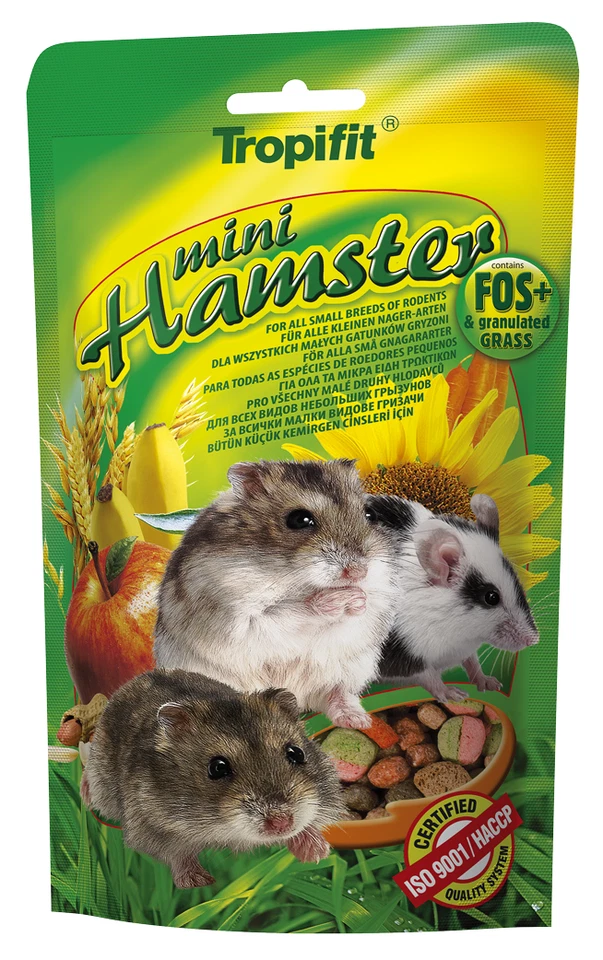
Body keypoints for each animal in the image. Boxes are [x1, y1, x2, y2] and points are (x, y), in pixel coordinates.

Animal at [80, 669, 343, 888]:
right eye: (217, 768)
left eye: (296, 753)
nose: (281, 823)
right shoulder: (149, 823)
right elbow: (176, 854)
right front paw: (199, 882)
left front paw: (317, 853)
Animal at [154, 459, 397, 729]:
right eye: (299, 519)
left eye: (369, 514)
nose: (358, 572)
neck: (294, 579)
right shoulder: (233, 612)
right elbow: (284, 612)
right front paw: (336, 600)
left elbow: (362, 613)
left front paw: (358, 600)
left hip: (352, 668)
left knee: (334, 693)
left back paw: (358, 721)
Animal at [367, 493, 539, 701]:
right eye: (491, 597)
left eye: (517, 583)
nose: (534, 640)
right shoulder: (401, 652)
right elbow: (426, 674)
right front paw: (450, 693)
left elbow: (472, 661)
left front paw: (487, 681)